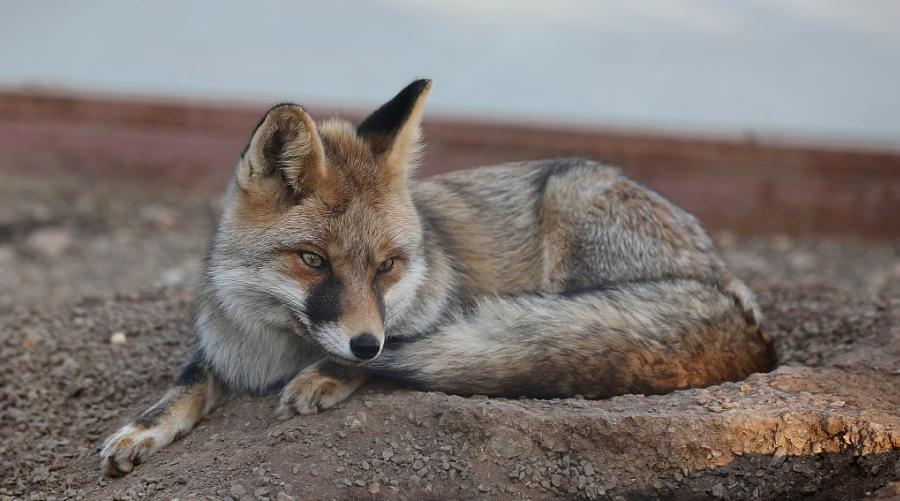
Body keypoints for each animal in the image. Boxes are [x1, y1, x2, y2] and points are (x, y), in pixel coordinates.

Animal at [96, 79, 772, 476]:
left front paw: (332, 374)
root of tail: (741, 303)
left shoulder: (424, 316)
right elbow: (183, 388)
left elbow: (393, 350)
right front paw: (140, 430)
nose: (365, 345)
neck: (278, 344)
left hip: (572, 206)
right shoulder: (222, 349)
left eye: (388, 266)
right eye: (314, 261)